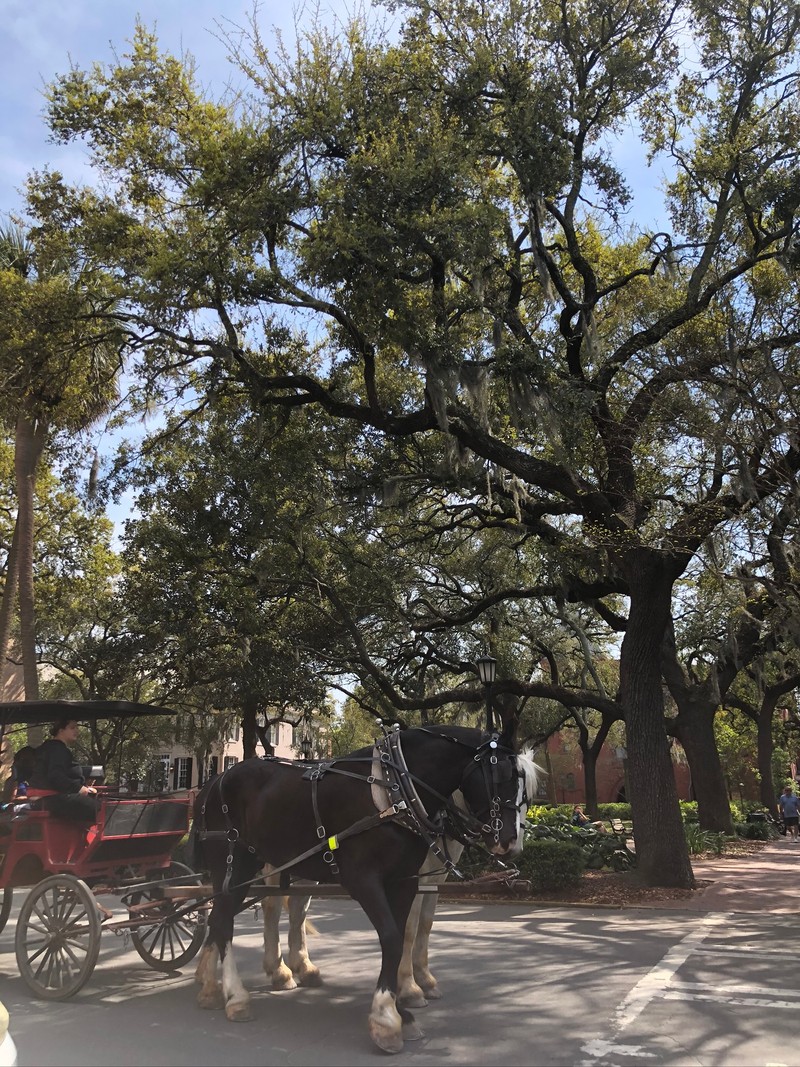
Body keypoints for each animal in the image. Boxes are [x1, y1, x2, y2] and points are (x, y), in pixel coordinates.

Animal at [190, 721, 535, 1054]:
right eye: (504, 775)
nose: (511, 842)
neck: (396, 791)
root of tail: (215, 780)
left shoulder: (407, 882)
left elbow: (407, 934)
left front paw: (403, 1007)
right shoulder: (365, 881)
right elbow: (395, 937)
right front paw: (388, 1015)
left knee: (239, 916)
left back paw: (218, 985)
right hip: (235, 866)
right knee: (230, 919)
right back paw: (238, 995)